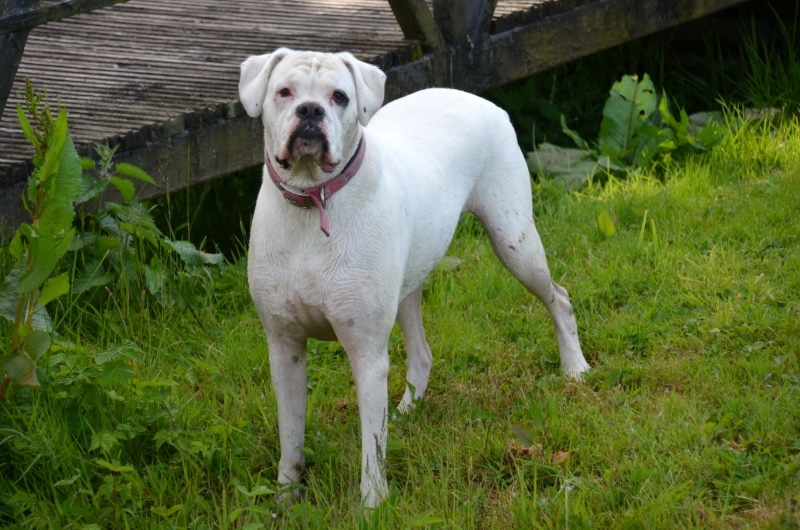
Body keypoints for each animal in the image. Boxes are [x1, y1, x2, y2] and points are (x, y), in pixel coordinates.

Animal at [238, 49, 588, 508]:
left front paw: (372, 505)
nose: (310, 111)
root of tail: (478, 98)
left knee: (558, 297)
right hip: (408, 288)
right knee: (421, 353)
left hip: (516, 242)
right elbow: (291, 434)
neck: (314, 202)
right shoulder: (285, 348)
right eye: (284, 92)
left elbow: (372, 445)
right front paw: (285, 497)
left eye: (339, 97)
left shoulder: (367, 353)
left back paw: (575, 369)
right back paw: (408, 410)